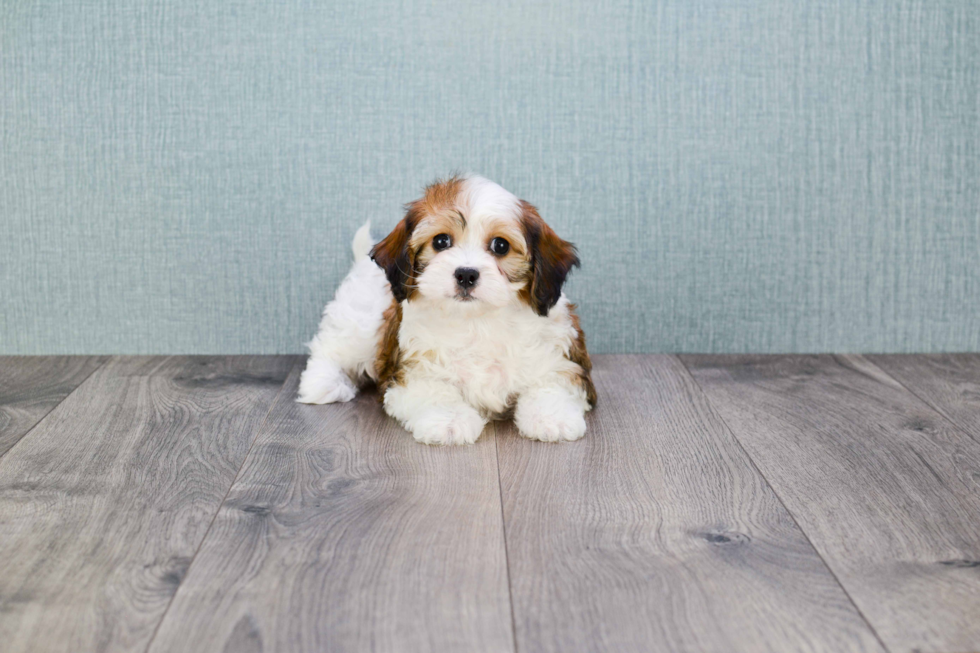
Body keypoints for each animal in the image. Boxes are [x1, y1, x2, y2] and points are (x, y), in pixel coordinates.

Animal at [294, 174, 592, 444]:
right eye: (440, 242)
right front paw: (450, 421)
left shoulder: (560, 360)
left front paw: (551, 418)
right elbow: (435, 391)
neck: (477, 321)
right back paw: (324, 384)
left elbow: (552, 383)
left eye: (500, 245)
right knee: (332, 348)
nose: (466, 274)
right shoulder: (411, 372)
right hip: (361, 320)